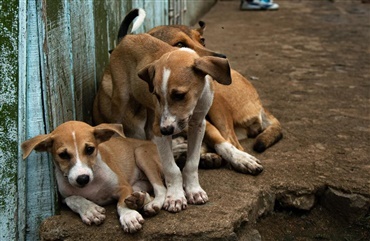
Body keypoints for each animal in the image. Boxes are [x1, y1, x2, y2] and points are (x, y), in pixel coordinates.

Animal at [21, 121, 166, 233]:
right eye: (63, 155)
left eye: (90, 149)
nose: (82, 179)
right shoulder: (63, 196)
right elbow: (73, 199)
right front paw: (89, 210)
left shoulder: (123, 186)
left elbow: (121, 202)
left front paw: (128, 216)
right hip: (138, 180)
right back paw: (140, 199)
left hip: (141, 153)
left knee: (161, 188)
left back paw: (152, 204)